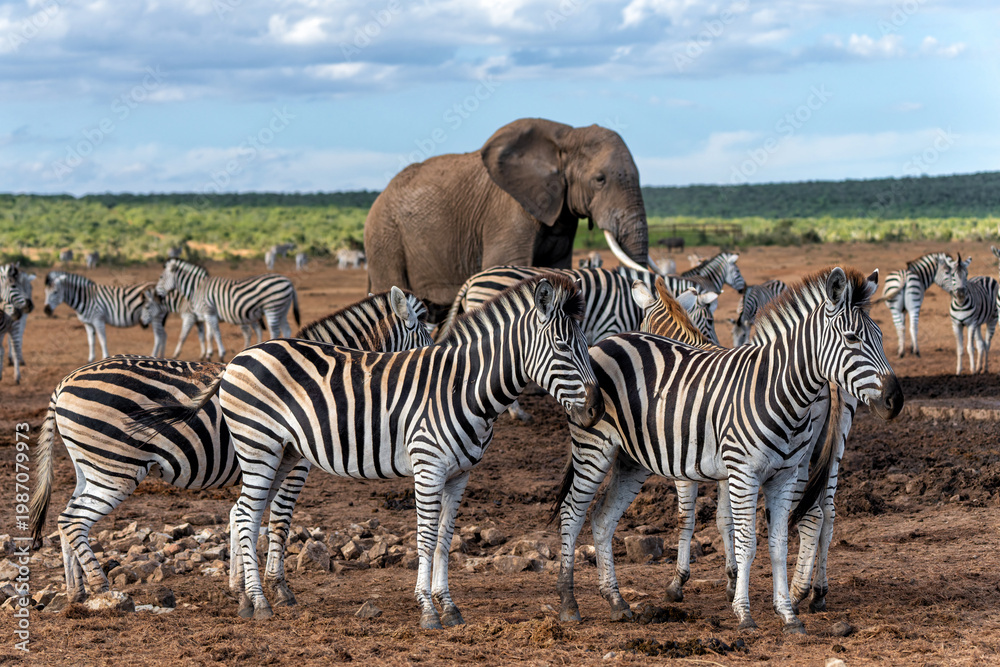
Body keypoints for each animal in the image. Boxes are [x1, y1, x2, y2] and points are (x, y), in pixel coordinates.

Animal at [28, 287, 433, 604]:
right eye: (427, 345)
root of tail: (64, 382)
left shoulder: (271, 461)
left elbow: (246, 518)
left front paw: (240, 585)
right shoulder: (295, 463)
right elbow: (277, 522)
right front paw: (277, 588)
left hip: (91, 466)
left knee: (66, 519)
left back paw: (77, 592)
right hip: (115, 468)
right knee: (74, 520)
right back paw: (104, 589)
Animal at [131, 275, 603, 626]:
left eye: (585, 345)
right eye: (563, 347)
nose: (597, 409)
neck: (461, 388)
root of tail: (240, 356)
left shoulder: (459, 475)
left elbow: (445, 540)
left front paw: (449, 607)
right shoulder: (428, 467)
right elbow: (425, 537)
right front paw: (428, 611)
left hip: (282, 452)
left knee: (249, 513)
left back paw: (250, 600)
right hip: (259, 446)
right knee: (247, 515)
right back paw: (260, 605)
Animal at [155, 258, 300, 362]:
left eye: (161, 277)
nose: (156, 295)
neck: (197, 288)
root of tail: (289, 281)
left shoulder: (208, 313)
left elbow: (215, 333)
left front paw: (221, 354)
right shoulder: (207, 314)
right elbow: (209, 335)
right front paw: (208, 354)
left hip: (272, 307)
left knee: (274, 330)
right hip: (282, 309)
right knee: (286, 329)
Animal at [553, 267, 902, 633]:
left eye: (879, 336)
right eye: (853, 339)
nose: (896, 399)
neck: (776, 388)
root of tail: (607, 341)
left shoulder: (778, 475)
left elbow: (774, 543)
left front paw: (785, 614)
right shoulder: (732, 471)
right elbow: (735, 534)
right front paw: (743, 611)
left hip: (631, 459)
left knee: (601, 518)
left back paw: (616, 601)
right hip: (594, 446)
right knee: (573, 512)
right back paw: (569, 604)